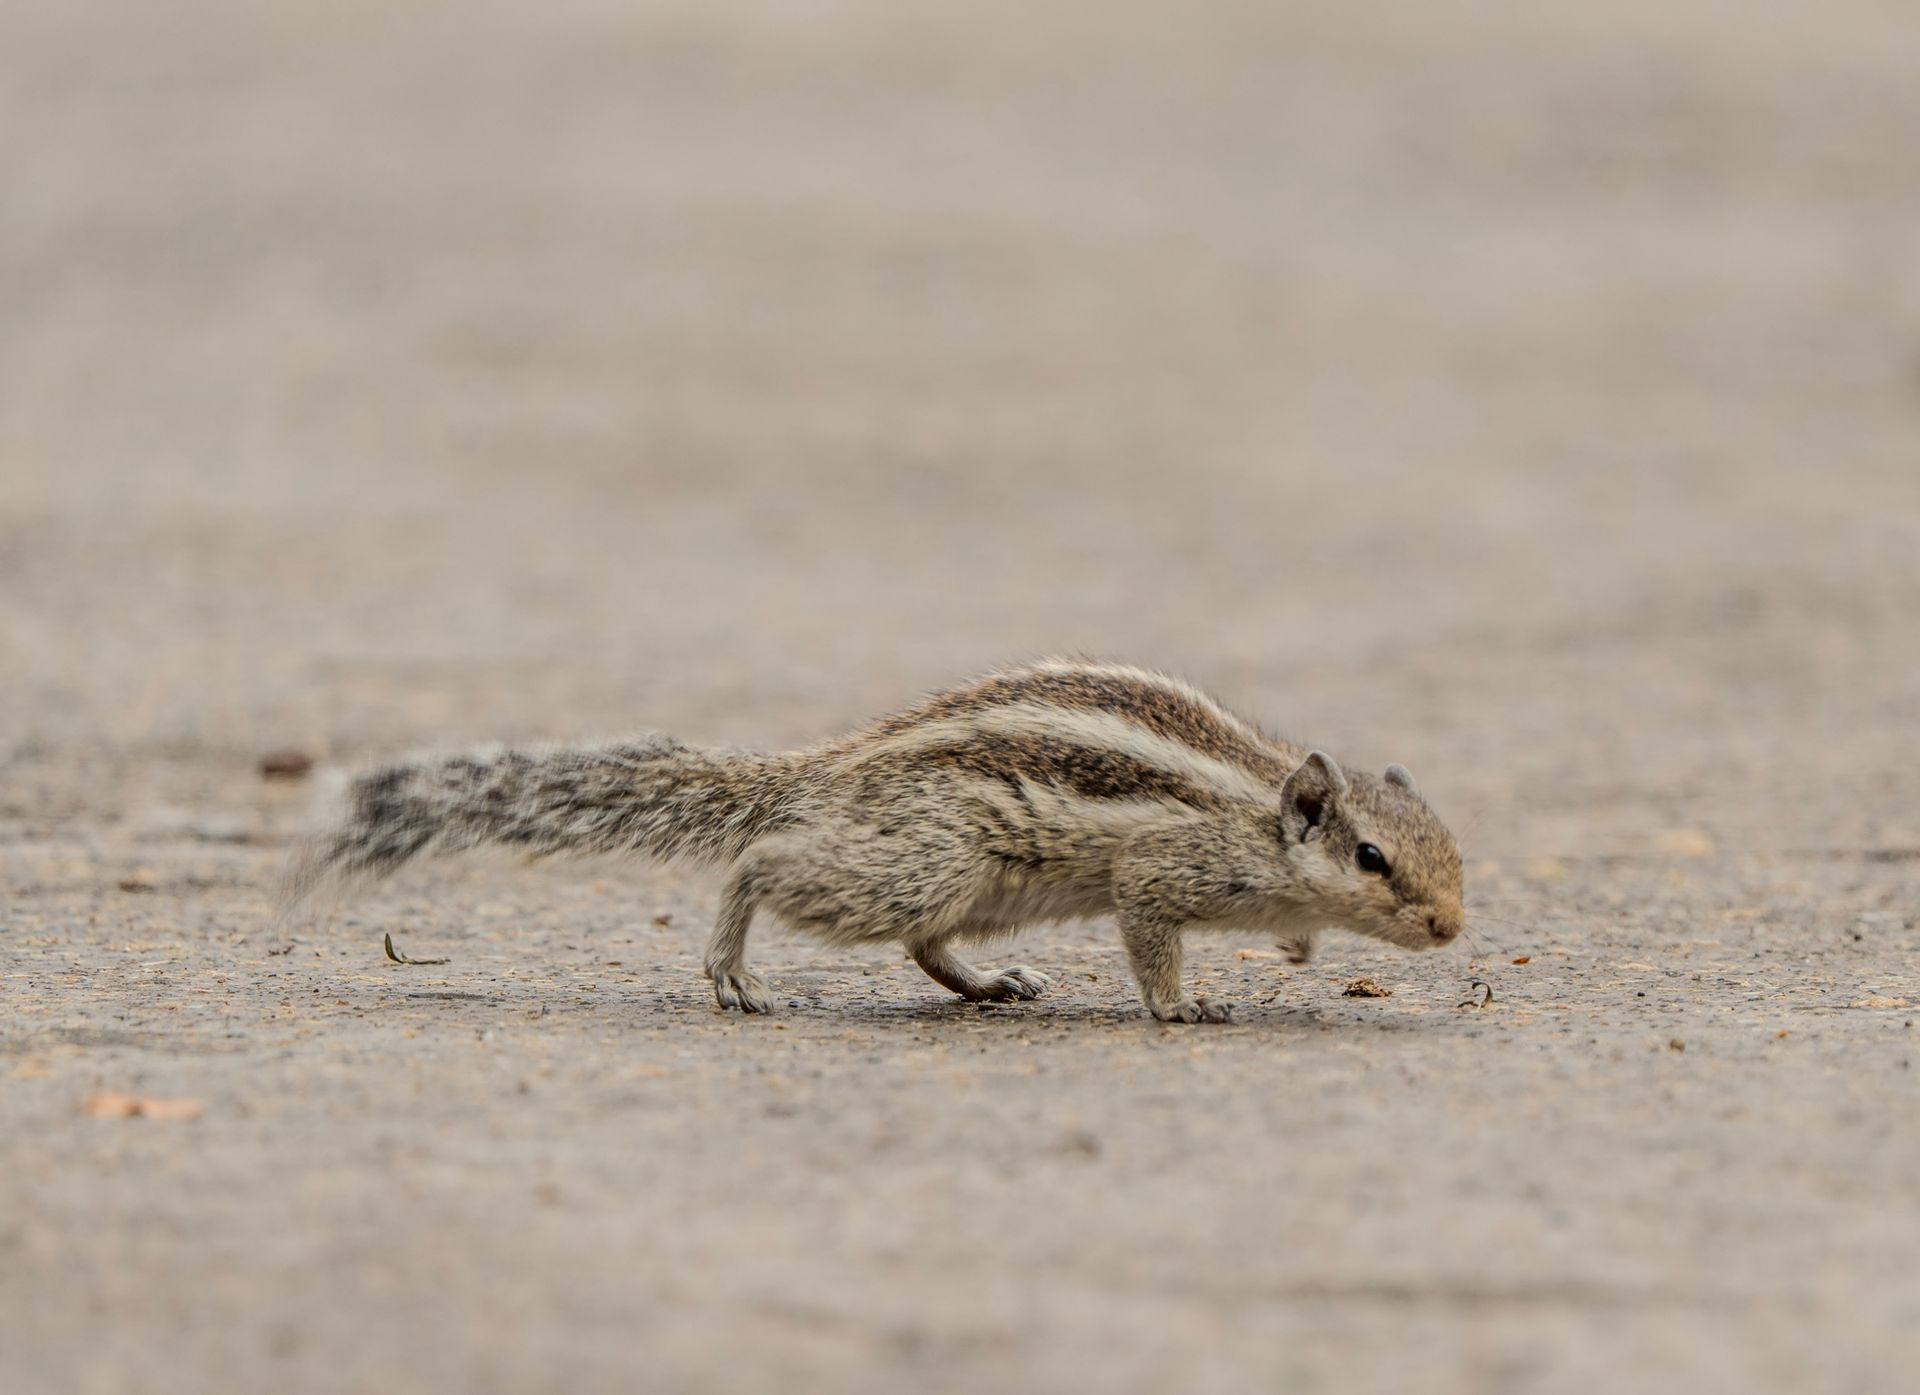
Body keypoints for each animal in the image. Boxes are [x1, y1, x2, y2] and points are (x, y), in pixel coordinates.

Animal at [282, 659, 1465, 1023]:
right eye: (1374, 859)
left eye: (1449, 851)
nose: (1453, 929)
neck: (1263, 818)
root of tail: (835, 768)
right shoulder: (1155, 871)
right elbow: (1151, 945)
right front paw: (1187, 1006)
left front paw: (1299, 948)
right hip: (923, 863)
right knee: (762, 863)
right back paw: (731, 971)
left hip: (975, 887)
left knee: (926, 948)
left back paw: (992, 986)